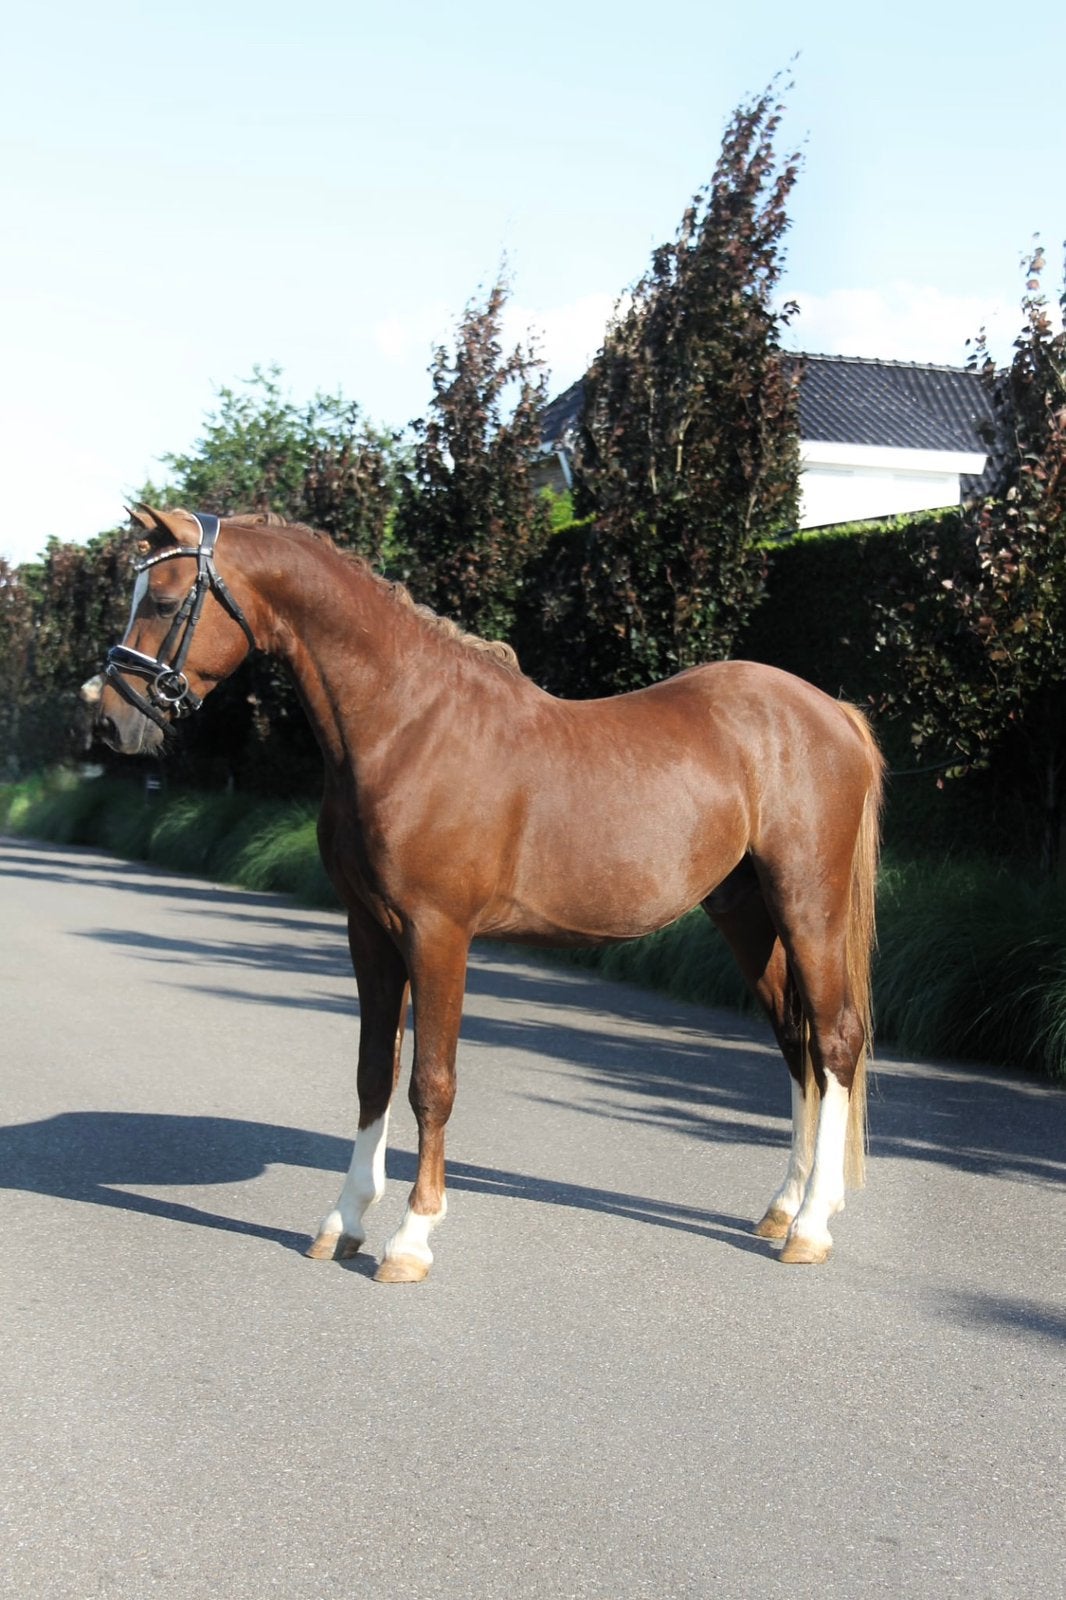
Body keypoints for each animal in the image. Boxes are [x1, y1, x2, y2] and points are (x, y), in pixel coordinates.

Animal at [90, 504, 884, 1280]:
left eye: (164, 600)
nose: (111, 719)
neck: (407, 724)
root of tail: (831, 711)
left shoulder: (437, 932)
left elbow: (430, 1082)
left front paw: (411, 1237)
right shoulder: (368, 931)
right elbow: (374, 1072)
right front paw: (344, 1222)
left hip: (807, 904)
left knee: (836, 1039)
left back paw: (811, 1226)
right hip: (745, 911)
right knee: (796, 1041)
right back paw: (784, 1205)